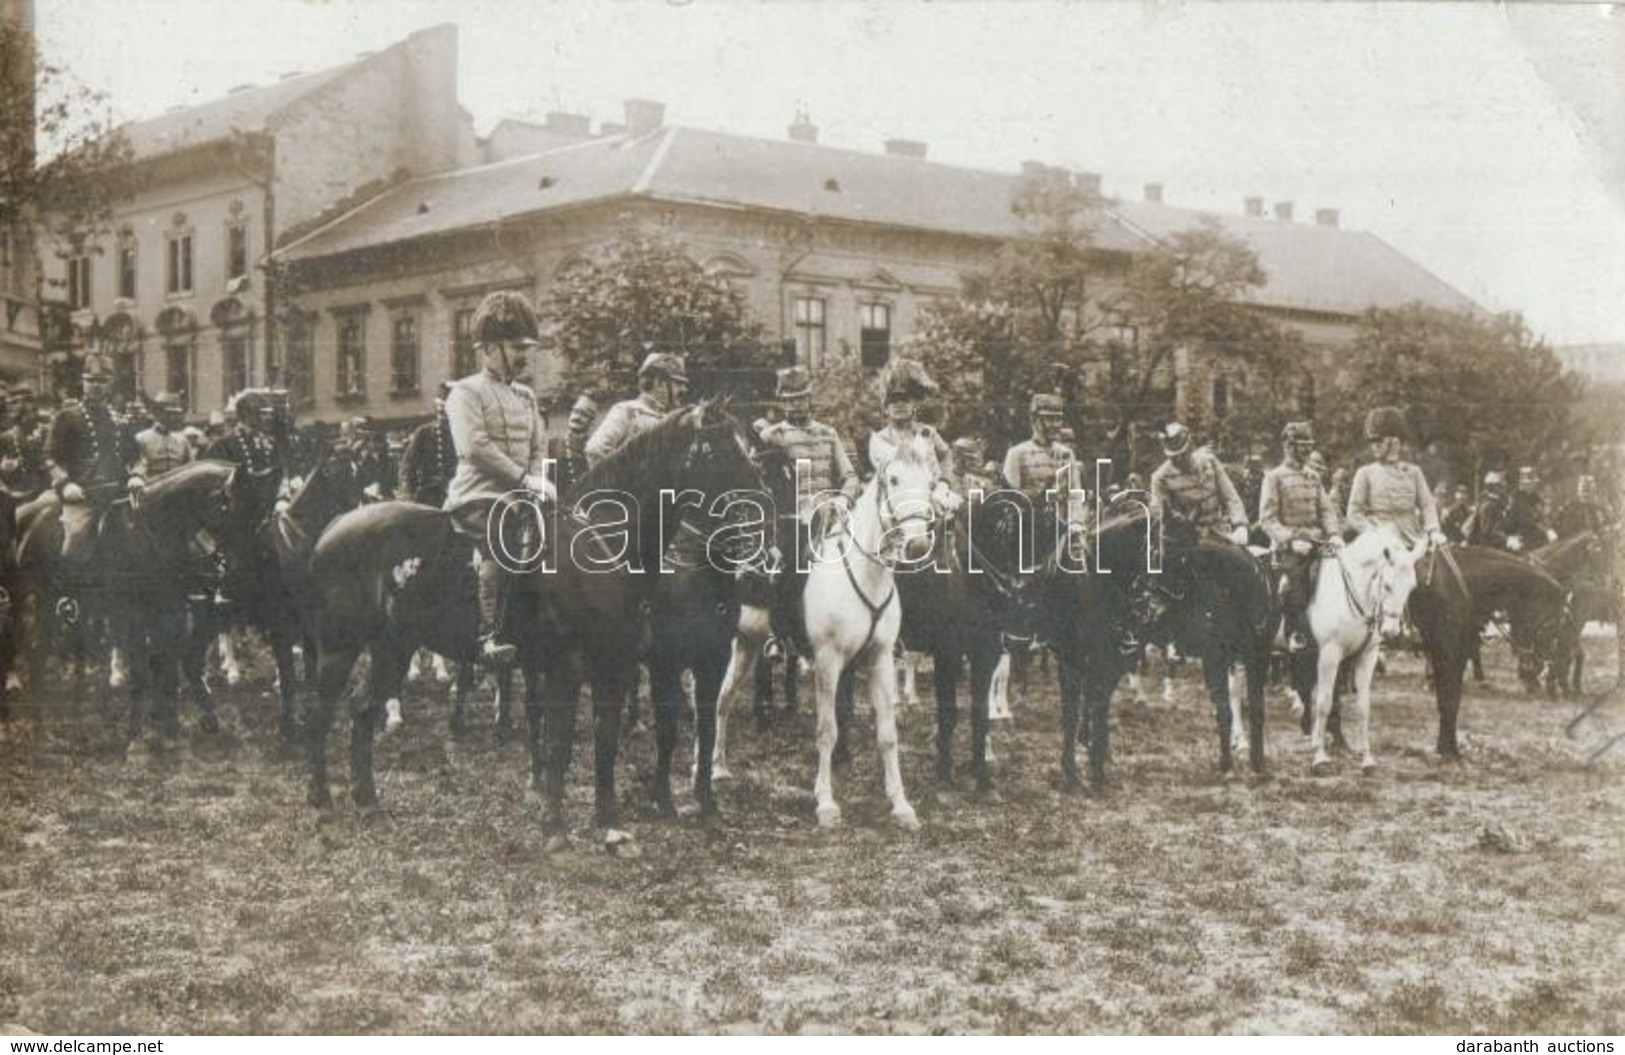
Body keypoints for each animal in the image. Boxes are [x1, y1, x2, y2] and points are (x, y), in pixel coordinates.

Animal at [802, 438, 942, 825]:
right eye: (892, 480)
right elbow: (826, 730)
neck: (866, 574)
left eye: (930, 483)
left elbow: (888, 734)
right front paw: (826, 803)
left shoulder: (880, 657)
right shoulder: (826, 660)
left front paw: (901, 803)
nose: (917, 546)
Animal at [1300, 523, 1417, 770]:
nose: (1392, 632)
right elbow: (1324, 702)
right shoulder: (1328, 655)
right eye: (1387, 586)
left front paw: (1367, 759)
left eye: (1412, 587)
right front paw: (1320, 757)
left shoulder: (1367, 656)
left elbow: (1363, 706)